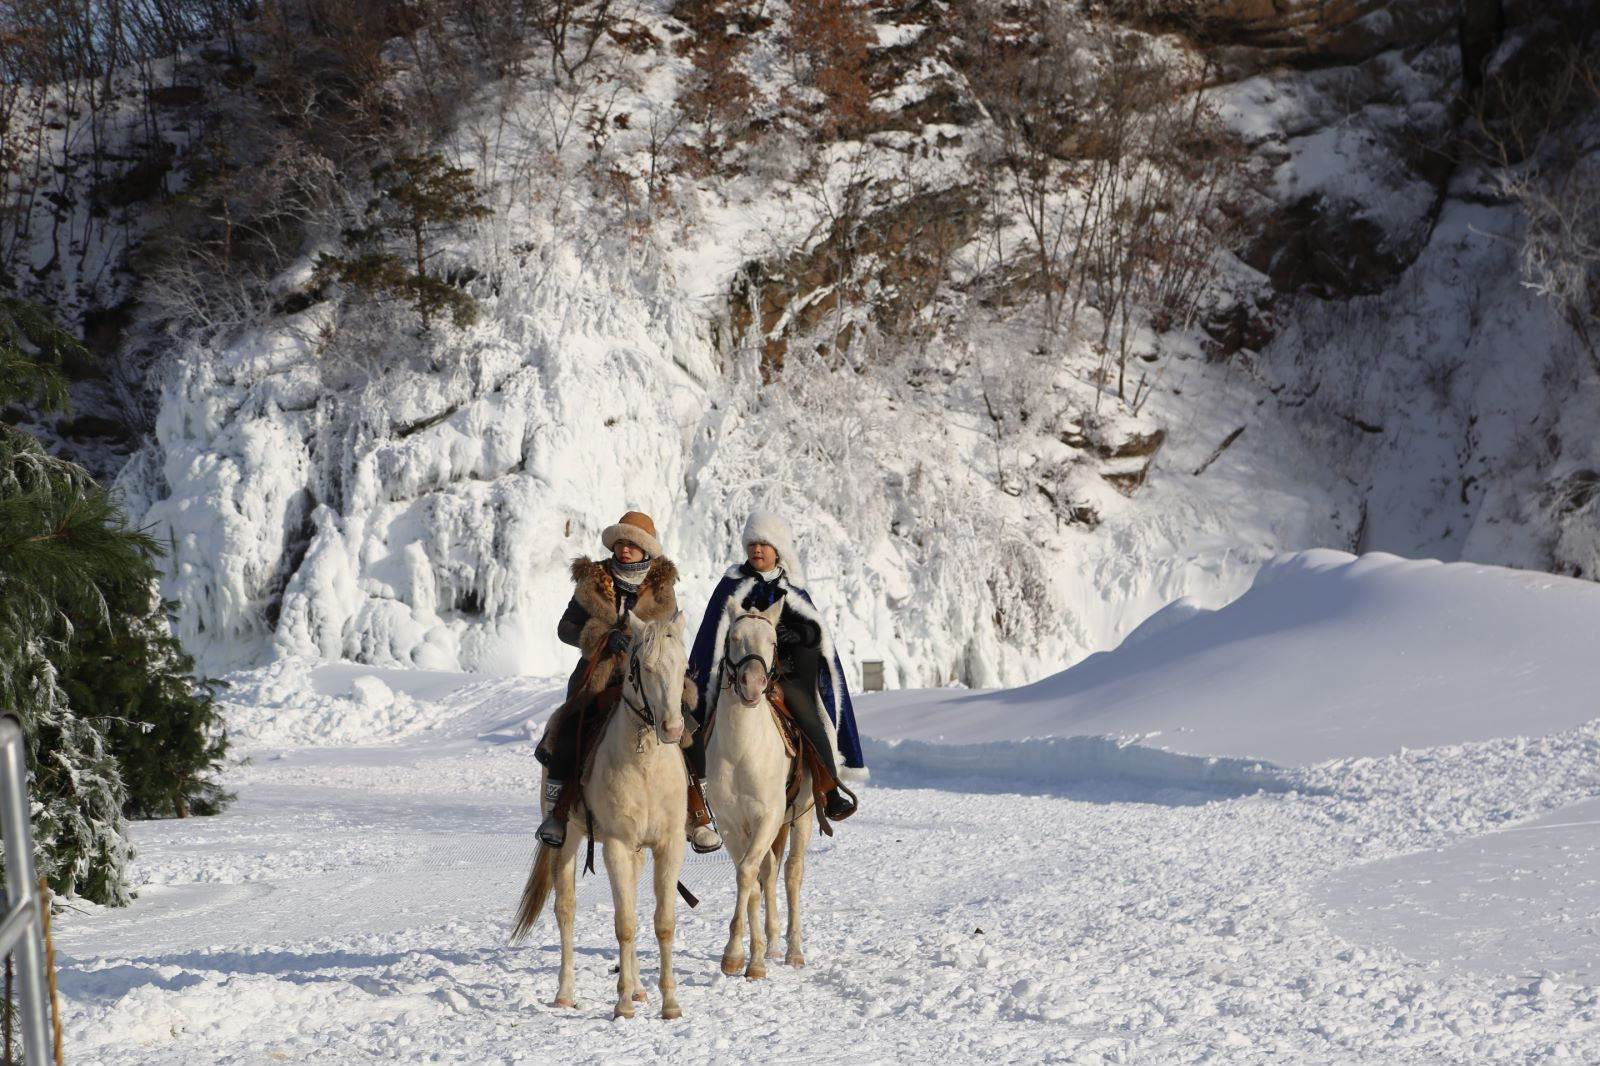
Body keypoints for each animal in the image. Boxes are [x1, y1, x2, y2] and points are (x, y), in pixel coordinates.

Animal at [512, 611, 688, 1017]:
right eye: (645, 667)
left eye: (684, 665)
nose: (672, 728)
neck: (645, 764)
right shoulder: (617, 847)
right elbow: (624, 924)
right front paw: (622, 1006)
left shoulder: (667, 846)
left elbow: (663, 923)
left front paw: (669, 1004)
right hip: (568, 840)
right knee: (566, 910)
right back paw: (565, 993)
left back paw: (639, 989)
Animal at [710, 598, 812, 973]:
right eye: (734, 637)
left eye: (772, 641)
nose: (753, 684)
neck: (742, 751)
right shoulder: (730, 823)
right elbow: (751, 880)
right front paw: (747, 956)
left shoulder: (768, 817)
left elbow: (747, 873)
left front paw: (736, 956)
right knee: (769, 872)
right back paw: (771, 946)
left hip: (801, 815)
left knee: (792, 873)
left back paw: (794, 950)